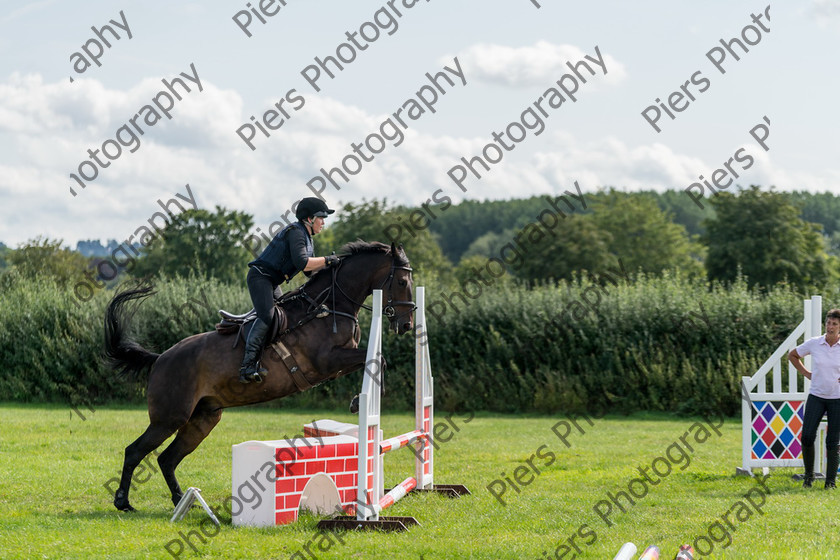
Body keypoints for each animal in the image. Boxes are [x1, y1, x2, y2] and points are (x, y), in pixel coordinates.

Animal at [104, 241, 414, 512]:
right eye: (401, 282)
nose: (407, 324)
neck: (329, 307)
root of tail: (160, 359)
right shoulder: (327, 360)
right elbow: (376, 359)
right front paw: (360, 403)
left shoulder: (337, 362)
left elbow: (375, 360)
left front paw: (359, 401)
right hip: (170, 417)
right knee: (135, 451)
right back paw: (123, 502)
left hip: (203, 419)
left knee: (167, 459)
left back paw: (181, 501)